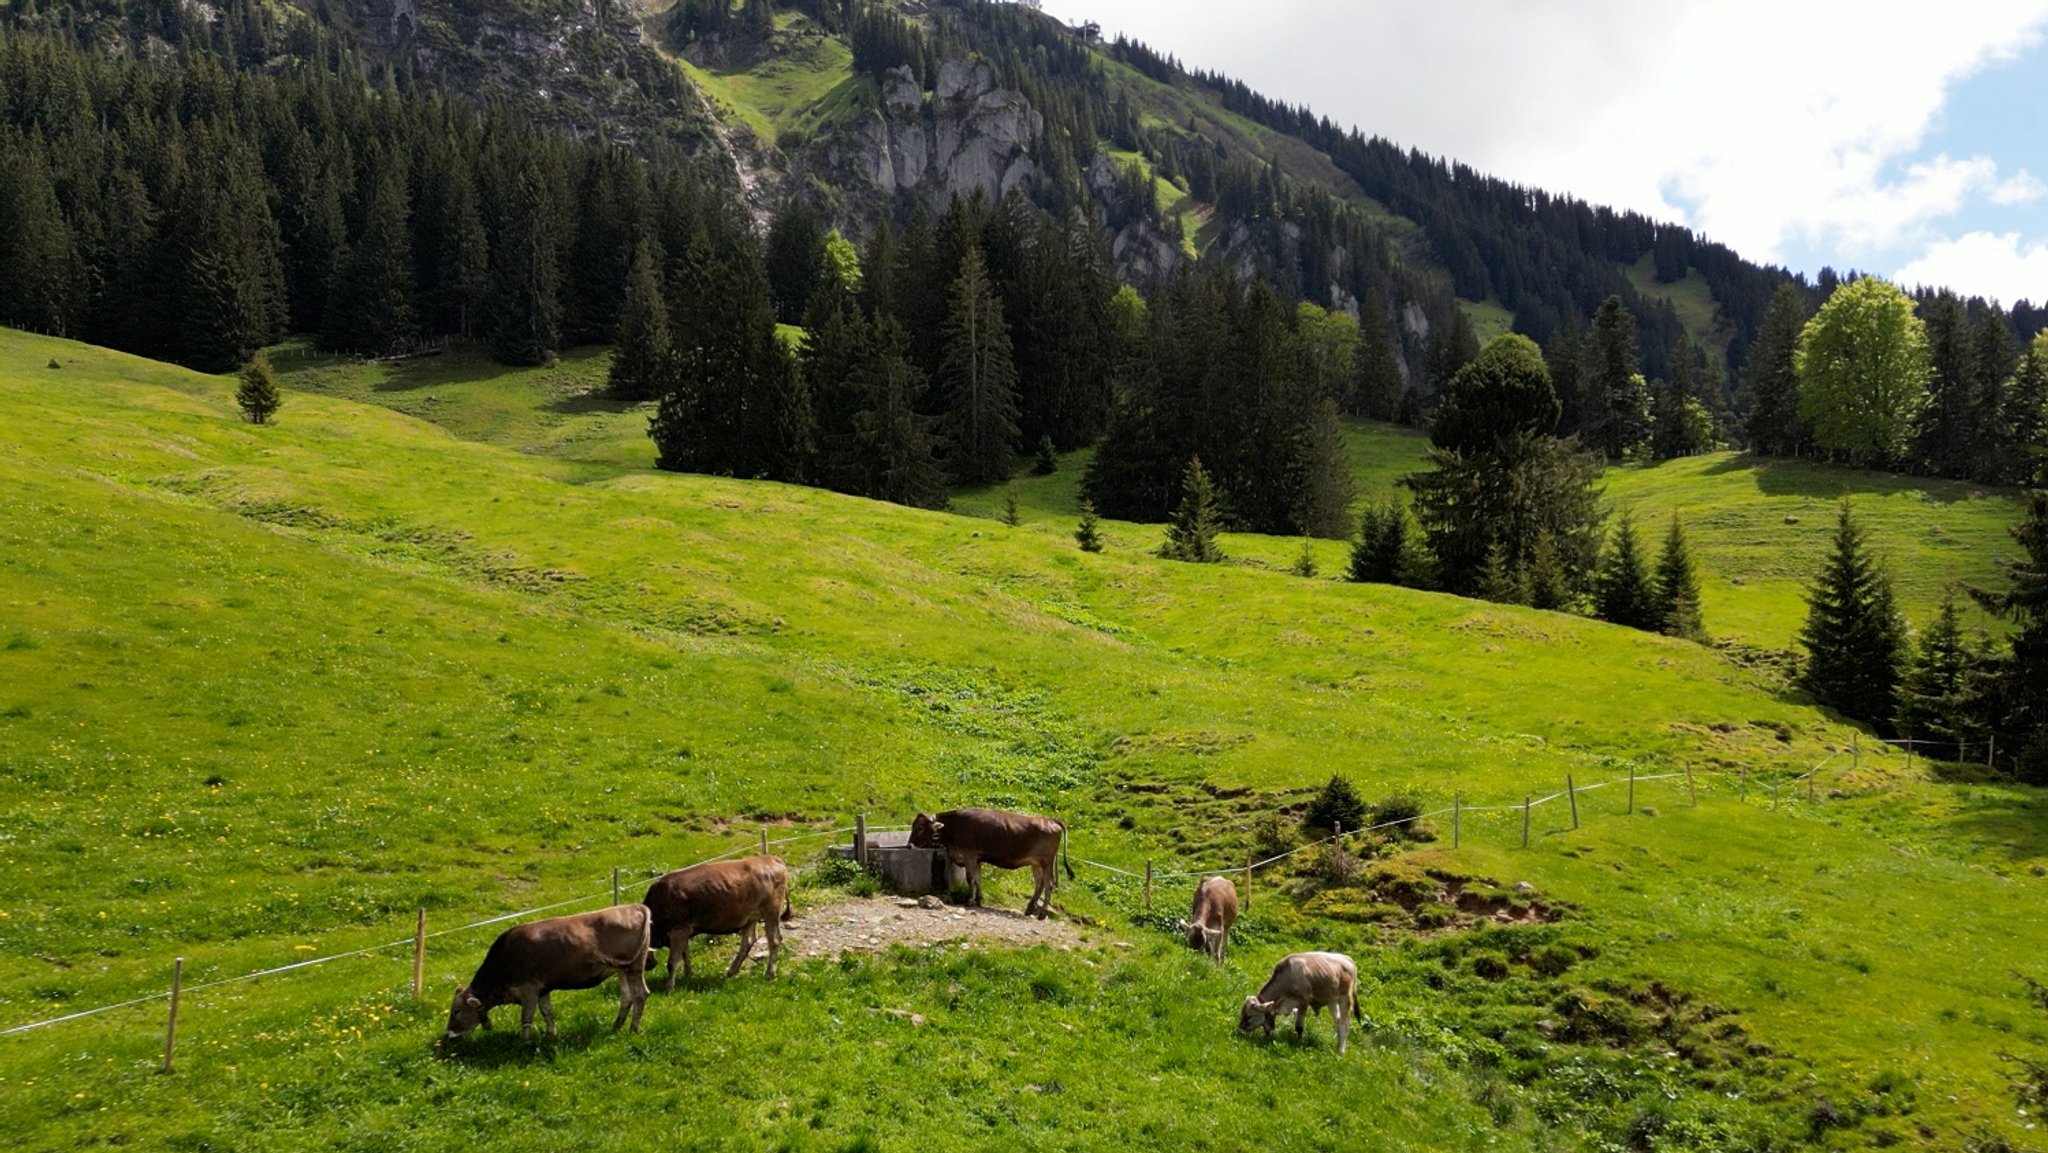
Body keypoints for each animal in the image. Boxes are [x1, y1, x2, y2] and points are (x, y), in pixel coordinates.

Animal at [444, 901, 651, 1048]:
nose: (447, 1036)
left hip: (634, 967)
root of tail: (636, 906)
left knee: (640, 994)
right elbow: (547, 1012)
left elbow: (526, 1017)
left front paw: (524, 1043)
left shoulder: (529, 989)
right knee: (626, 997)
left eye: (456, 1011)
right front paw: (551, 1035)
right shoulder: (543, 989)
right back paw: (616, 1026)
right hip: (622, 970)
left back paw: (633, 1029)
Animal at [647, 856, 790, 991]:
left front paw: (669, 987)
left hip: (770, 912)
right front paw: (688, 975)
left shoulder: (678, 930)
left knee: (774, 940)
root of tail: (769, 858)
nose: (650, 965)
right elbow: (685, 954)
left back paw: (769, 973)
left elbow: (673, 960)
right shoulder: (684, 931)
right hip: (751, 917)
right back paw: (732, 971)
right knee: (748, 941)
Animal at [909, 802, 1073, 921]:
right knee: (1040, 884)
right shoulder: (978, 858)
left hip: (1046, 862)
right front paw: (979, 900)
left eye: (920, 828)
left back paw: (1042, 913)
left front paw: (970, 901)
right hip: (1036, 863)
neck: (955, 827)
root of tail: (1050, 819)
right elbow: (978, 879)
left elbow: (970, 879)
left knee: (1049, 884)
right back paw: (1029, 909)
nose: (909, 844)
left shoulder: (969, 855)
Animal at [1228, 946, 1359, 1056]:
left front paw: (1299, 1043)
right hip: (1332, 1000)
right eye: (1242, 1014)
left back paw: (1341, 1052)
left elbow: (1299, 1027)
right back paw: (1338, 1046)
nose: (1239, 1031)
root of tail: (1346, 958)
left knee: (1344, 1024)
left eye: (1249, 1016)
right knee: (1338, 1022)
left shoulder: (1303, 1002)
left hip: (1345, 999)